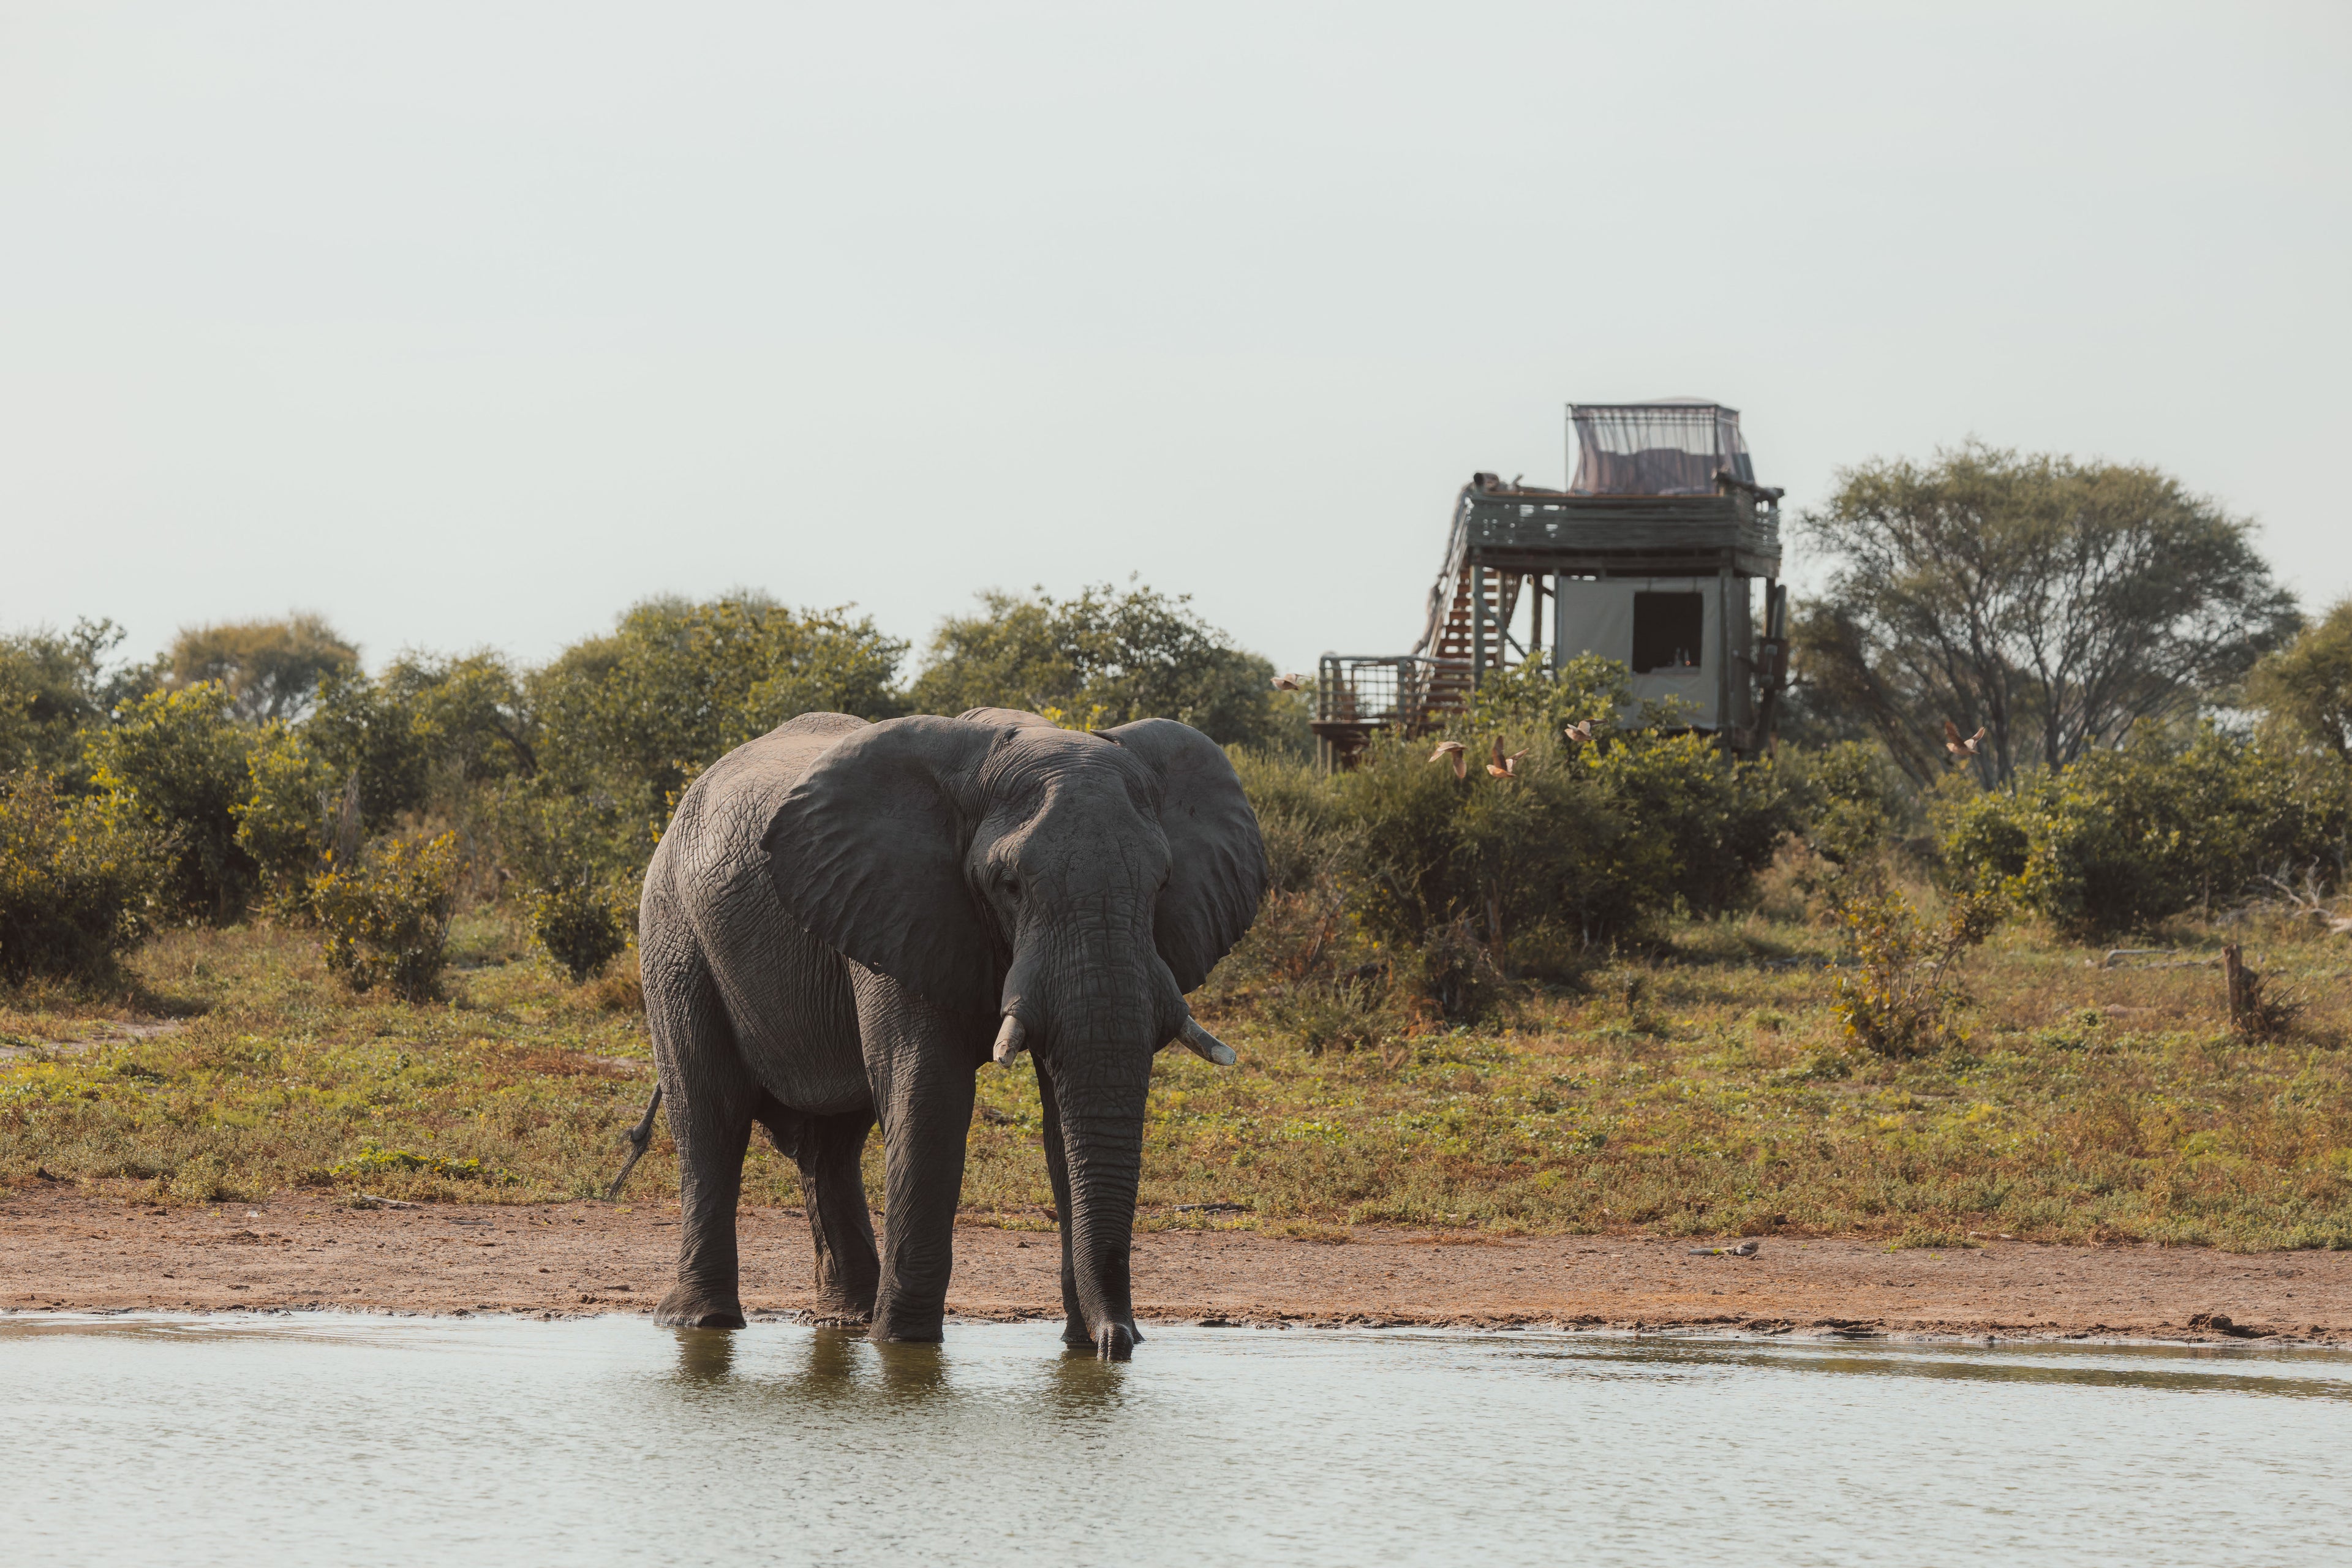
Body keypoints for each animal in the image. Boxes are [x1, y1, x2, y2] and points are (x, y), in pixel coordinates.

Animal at [635, 706, 1265, 1359]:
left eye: (1163, 883)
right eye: (1009, 884)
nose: (1117, 1343)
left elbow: (1060, 1115)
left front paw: (1078, 1347)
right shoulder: (896, 905)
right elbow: (930, 1093)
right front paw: (905, 1347)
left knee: (830, 1145)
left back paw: (848, 1320)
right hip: (674, 936)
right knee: (710, 1114)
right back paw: (704, 1322)